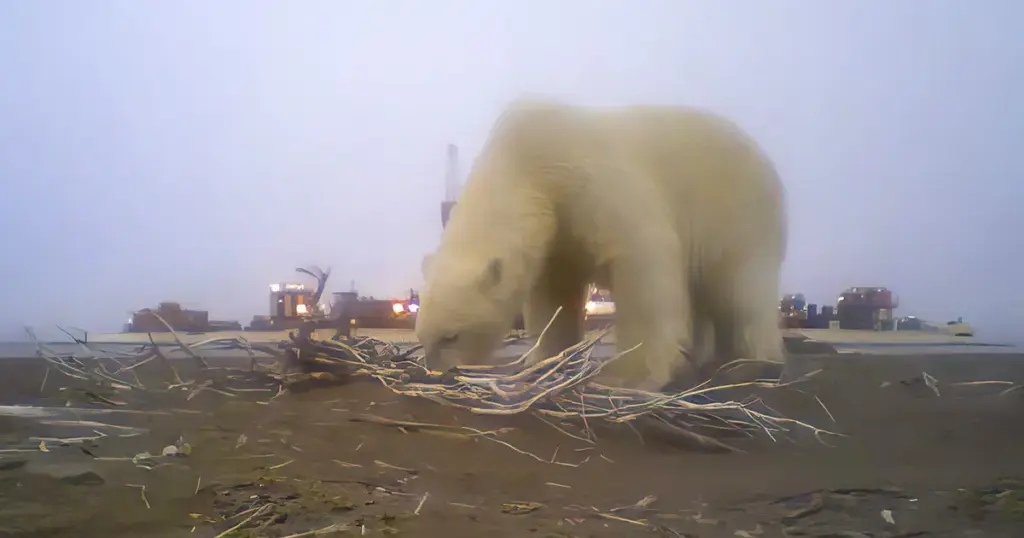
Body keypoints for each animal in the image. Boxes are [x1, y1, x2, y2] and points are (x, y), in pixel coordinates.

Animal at [415, 98, 787, 391]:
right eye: (421, 337)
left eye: (451, 336)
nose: (434, 373)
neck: (524, 160)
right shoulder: (556, 232)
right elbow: (554, 295)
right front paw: (546, 358)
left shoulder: (588, 178)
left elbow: (643, 259)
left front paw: (630, 375)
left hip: (738, 212)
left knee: (741, 287)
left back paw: (748, 365)